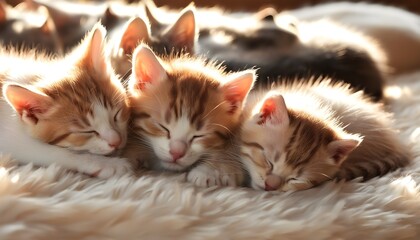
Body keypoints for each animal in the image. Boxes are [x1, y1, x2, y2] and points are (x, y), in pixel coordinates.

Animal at [0, 22, 131, 178]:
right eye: (87, 131)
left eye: (116, 115)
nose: (117, 141)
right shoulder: (9, 138)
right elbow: (48, 151)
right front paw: (107, 164)